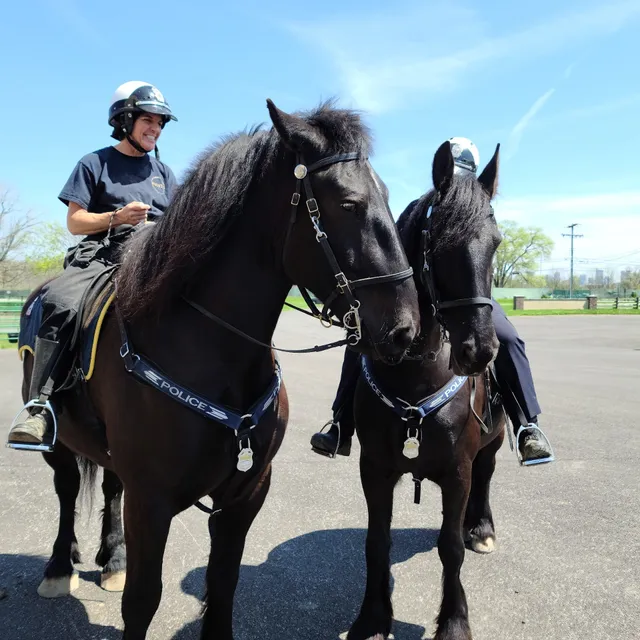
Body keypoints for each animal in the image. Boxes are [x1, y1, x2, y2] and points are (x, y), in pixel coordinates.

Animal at [17, 99, 421, 639]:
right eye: (350, 204)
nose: (404, 329)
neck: (208, 349)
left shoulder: (245, 495)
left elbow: (224, 587)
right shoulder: (152, 500)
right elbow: (143, 601)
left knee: (108, 485)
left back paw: (112, 558)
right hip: (60, 442)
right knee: (65, 490)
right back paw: (61, 567)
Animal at [347, 141, 506, 640]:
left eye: (496, 242)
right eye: (438, 242)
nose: (479, 350)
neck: (417, 380)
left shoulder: (458, 472)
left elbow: (449, 546)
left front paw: (454, 621)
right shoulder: (375, 469)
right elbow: (376, 542)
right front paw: (373, 616)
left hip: (492, 444)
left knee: (487, 476)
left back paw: (481, 527)